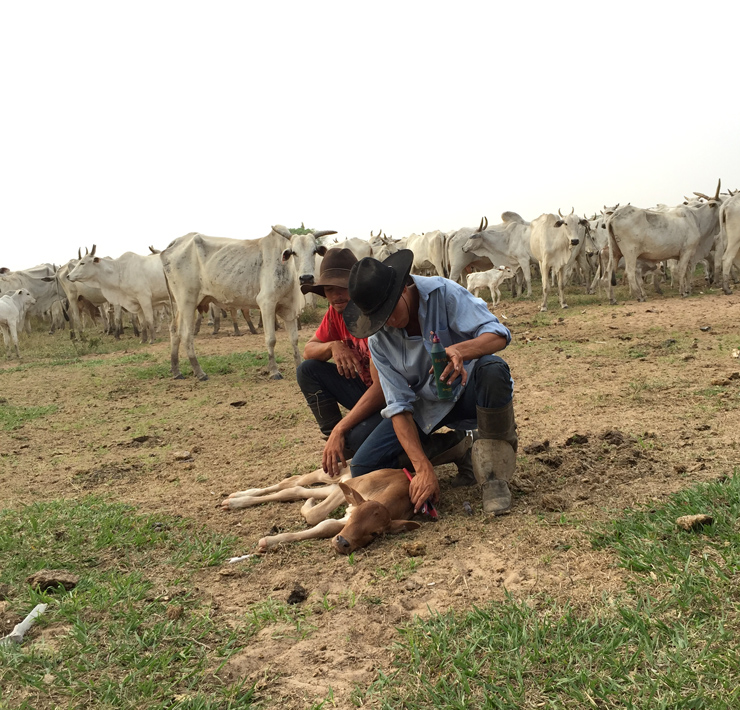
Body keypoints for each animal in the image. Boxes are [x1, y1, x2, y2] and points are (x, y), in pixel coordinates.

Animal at [160, 228, 330, 384]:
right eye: (294, 252)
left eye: (314, 251)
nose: (306, 278)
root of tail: (175, 243)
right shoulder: (267, 304)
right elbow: (271, 339)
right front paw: (274, 371)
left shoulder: (289, 309)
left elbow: (294, 339)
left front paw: (298, 365)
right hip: (187, 302)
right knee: (186, 335)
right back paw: (199, 372)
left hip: (180, 305)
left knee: (174, 330)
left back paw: (176, 371)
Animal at [220, 470, 420, 560]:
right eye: (355, 516)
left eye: (375, 533)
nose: (343, 543)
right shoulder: (351, 486)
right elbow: (316, 516)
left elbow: (326, 525)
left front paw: (270, 542)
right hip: (333, 475)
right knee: (292, 481)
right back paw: (235, 498)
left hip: (333, 485)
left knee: (294, 490)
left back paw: (236, 500)